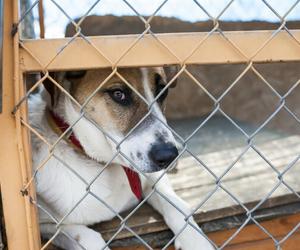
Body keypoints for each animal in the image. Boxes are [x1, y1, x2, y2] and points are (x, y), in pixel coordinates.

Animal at [29, 67, 214, 250]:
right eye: (118, 94)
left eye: (162, 90)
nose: (168, 156)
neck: (103, 164)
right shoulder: (46, 225)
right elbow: (88, 237)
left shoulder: (153, 178)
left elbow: (175, 204)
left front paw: (196, 242)